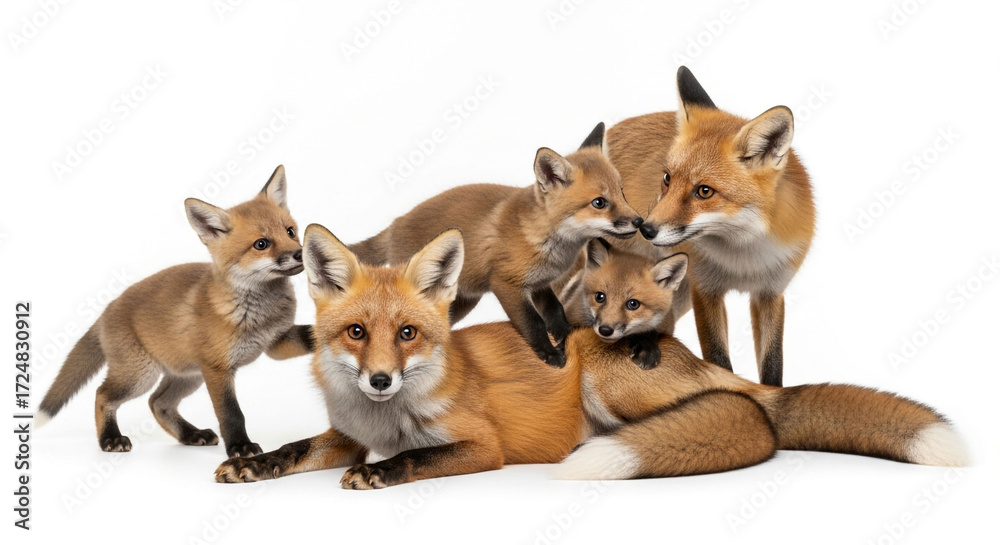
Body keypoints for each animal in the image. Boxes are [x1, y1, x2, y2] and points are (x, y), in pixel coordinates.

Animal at [37, 166, 314, 458]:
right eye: (261, 244)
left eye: (290, 231)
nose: (299, 254)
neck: (258, 314)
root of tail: (108, 307)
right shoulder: (217, 368)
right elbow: (231, 413)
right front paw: (240, 446)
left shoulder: (274, 342)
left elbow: (307, 336)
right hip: (140, 375)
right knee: (103, 394)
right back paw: (110, 439)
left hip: (187, 376)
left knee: (158, 402)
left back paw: (190, 434)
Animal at [214, 225, 965, 488]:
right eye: (354, 333)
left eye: (407, 335)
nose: (376, 380)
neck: (387, 417)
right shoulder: (345, 433)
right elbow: (298, 449)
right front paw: (254, 462)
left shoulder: (480, 446)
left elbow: (418, 459)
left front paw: (382, 472)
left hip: (612, 377)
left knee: (749, 418)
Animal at [348, 123, 642, 368]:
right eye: (599, 203)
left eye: (622, 193)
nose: (639, 221)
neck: (545, 238)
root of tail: (395, 223)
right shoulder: (506, 284)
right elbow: (533, 322)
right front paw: (549, 354)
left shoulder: (540, 284)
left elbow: (555, 313)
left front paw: (569, 337)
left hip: (463, 302)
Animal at [605, 66, 816, 387]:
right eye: (667, 178)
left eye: (704, 191)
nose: (646, 228)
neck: (743, 256)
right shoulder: (705, 288)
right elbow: (718, 358)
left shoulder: (771, 292)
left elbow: (773, 363)